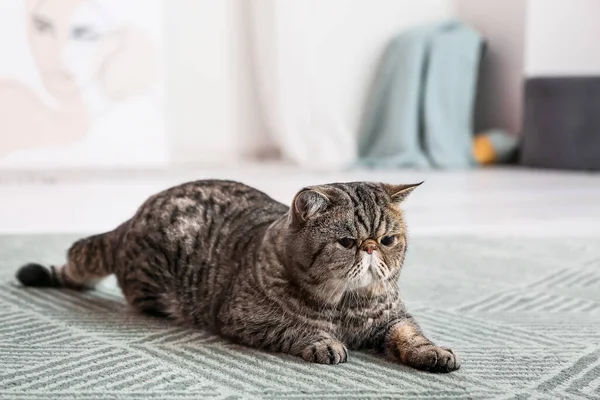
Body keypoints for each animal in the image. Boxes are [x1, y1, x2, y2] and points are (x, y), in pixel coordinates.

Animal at [17, 180, 460, 374]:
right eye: (348, 241)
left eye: (387, 240)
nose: (370, 249)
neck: (347, 304)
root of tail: (131, 217)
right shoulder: (244, 317)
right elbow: (296, 327)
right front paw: (323, 341)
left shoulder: (394, 317)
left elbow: (411, 334)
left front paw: (433, 352)